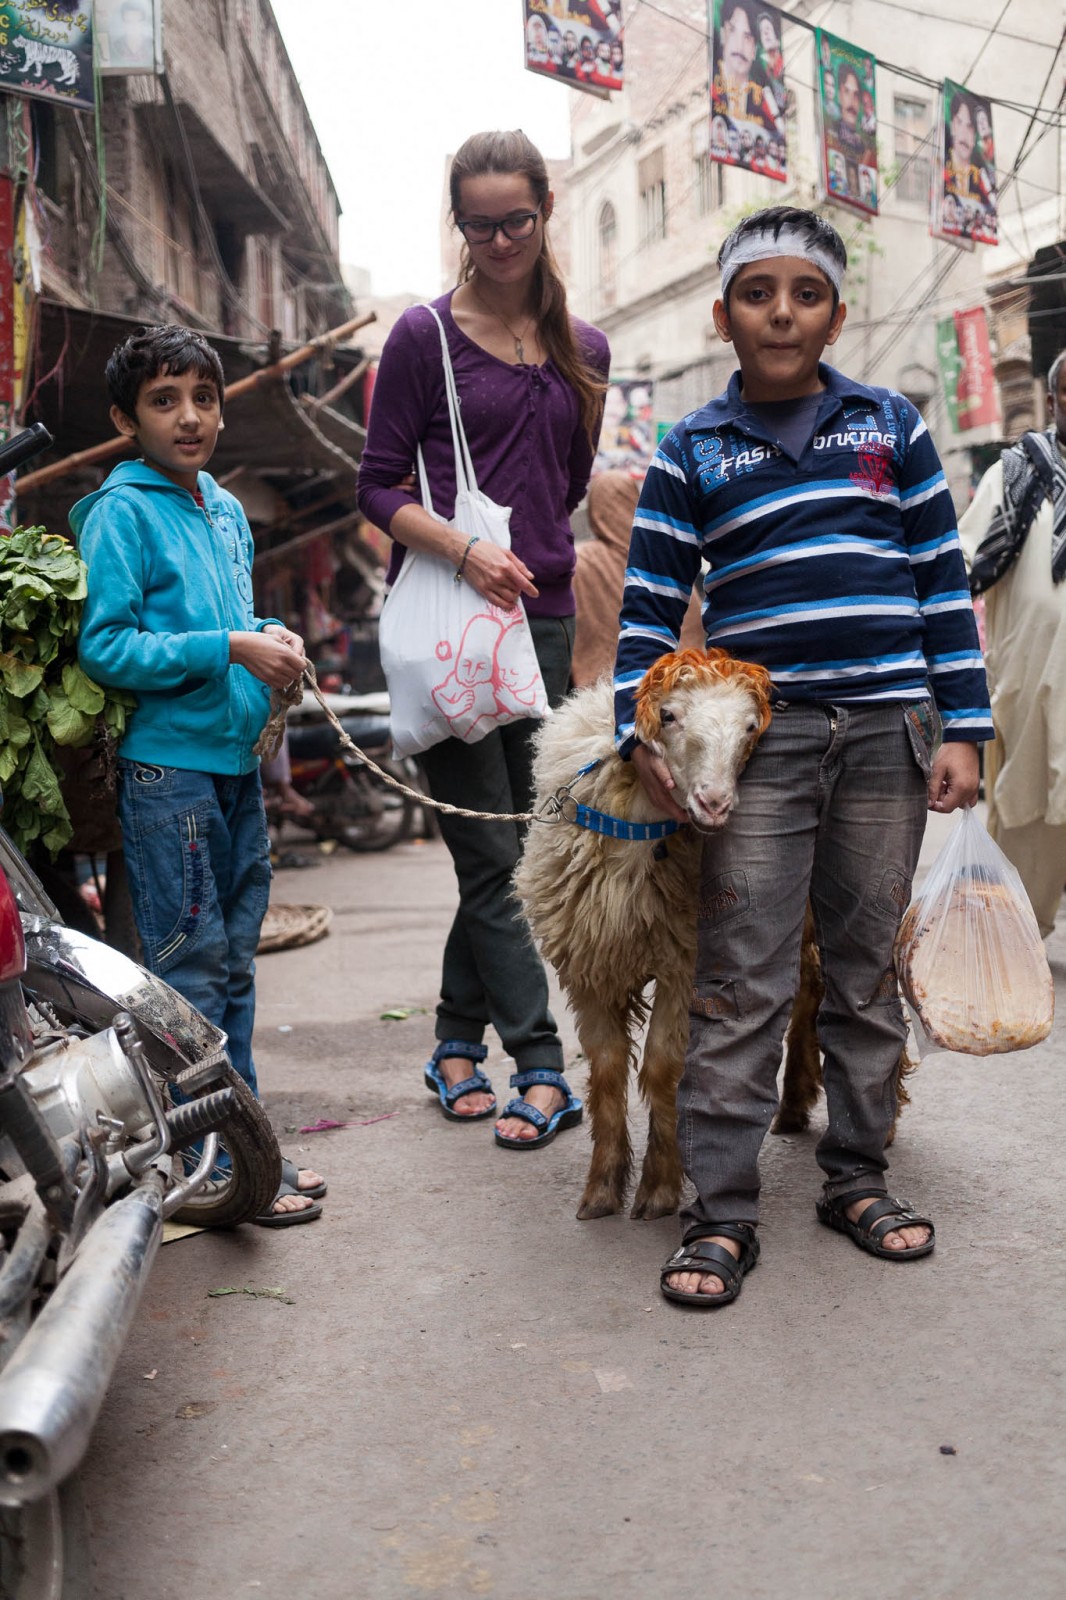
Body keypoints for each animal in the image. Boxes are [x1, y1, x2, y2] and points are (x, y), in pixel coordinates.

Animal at [512, 649, 902, 1222]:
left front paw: (659, 1187)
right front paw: (602, 1189)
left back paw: (879, 1121)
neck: (643, 836)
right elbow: (606, 1068)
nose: (715, 803)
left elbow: (662, 1067)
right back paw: (792, 1104)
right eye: (669, 716)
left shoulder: (686, 963)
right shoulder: (592, 963)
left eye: (751, 728)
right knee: (808, 987)